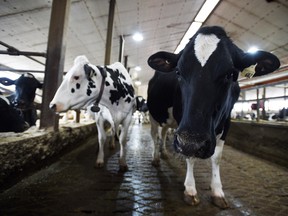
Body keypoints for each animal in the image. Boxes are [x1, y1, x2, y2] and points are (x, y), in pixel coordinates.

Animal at [146, 25, 280, 209]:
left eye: (230, 74)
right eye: (178, 71)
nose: (193, 142)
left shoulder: (226, 122)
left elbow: (216, 158)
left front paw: (217, 191)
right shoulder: (184, 125)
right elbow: (190, 155)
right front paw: (190, 189)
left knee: (164, 132)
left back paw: (165, 153)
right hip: (153, 115)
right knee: (154, 135)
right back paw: (156, 158)